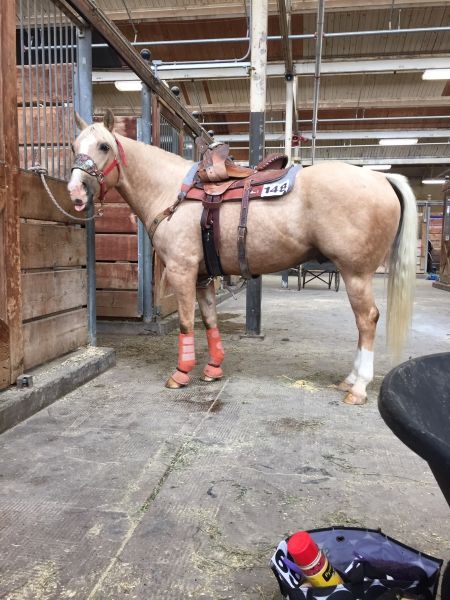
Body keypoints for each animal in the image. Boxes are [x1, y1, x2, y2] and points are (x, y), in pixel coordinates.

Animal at [68, 110, 416, 406]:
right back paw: (350, 380)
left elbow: (185, 322)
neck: (171, 192)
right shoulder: (202, 276)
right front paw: (212, 370)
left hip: (356, 273)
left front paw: (181, 373)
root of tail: (381, 178)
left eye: (104, 146)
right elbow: (209, 320)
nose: (76, 191)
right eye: (74, 145)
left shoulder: (182, 271)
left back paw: (358, 387)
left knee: (367, 320)